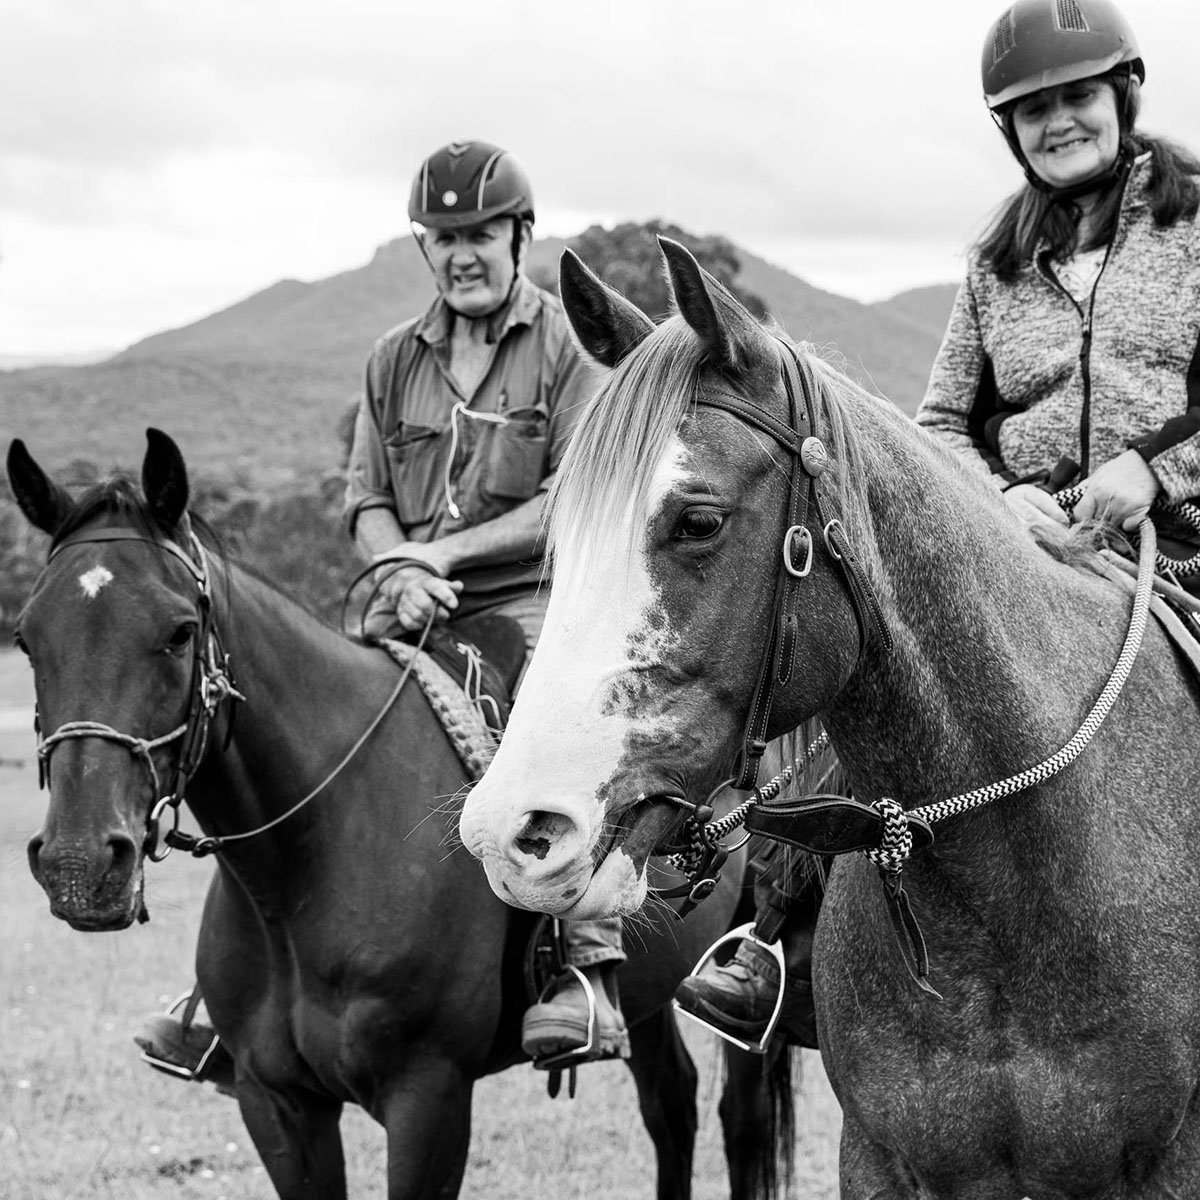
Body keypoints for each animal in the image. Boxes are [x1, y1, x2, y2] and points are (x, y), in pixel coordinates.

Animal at [9, 429, 801, 1200]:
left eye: (178, 632)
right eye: (27, 637)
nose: (79, 864)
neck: (308, 866)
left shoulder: (428, 1098)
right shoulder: (276, 1106)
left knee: (739, 1120)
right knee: (671, 1105)